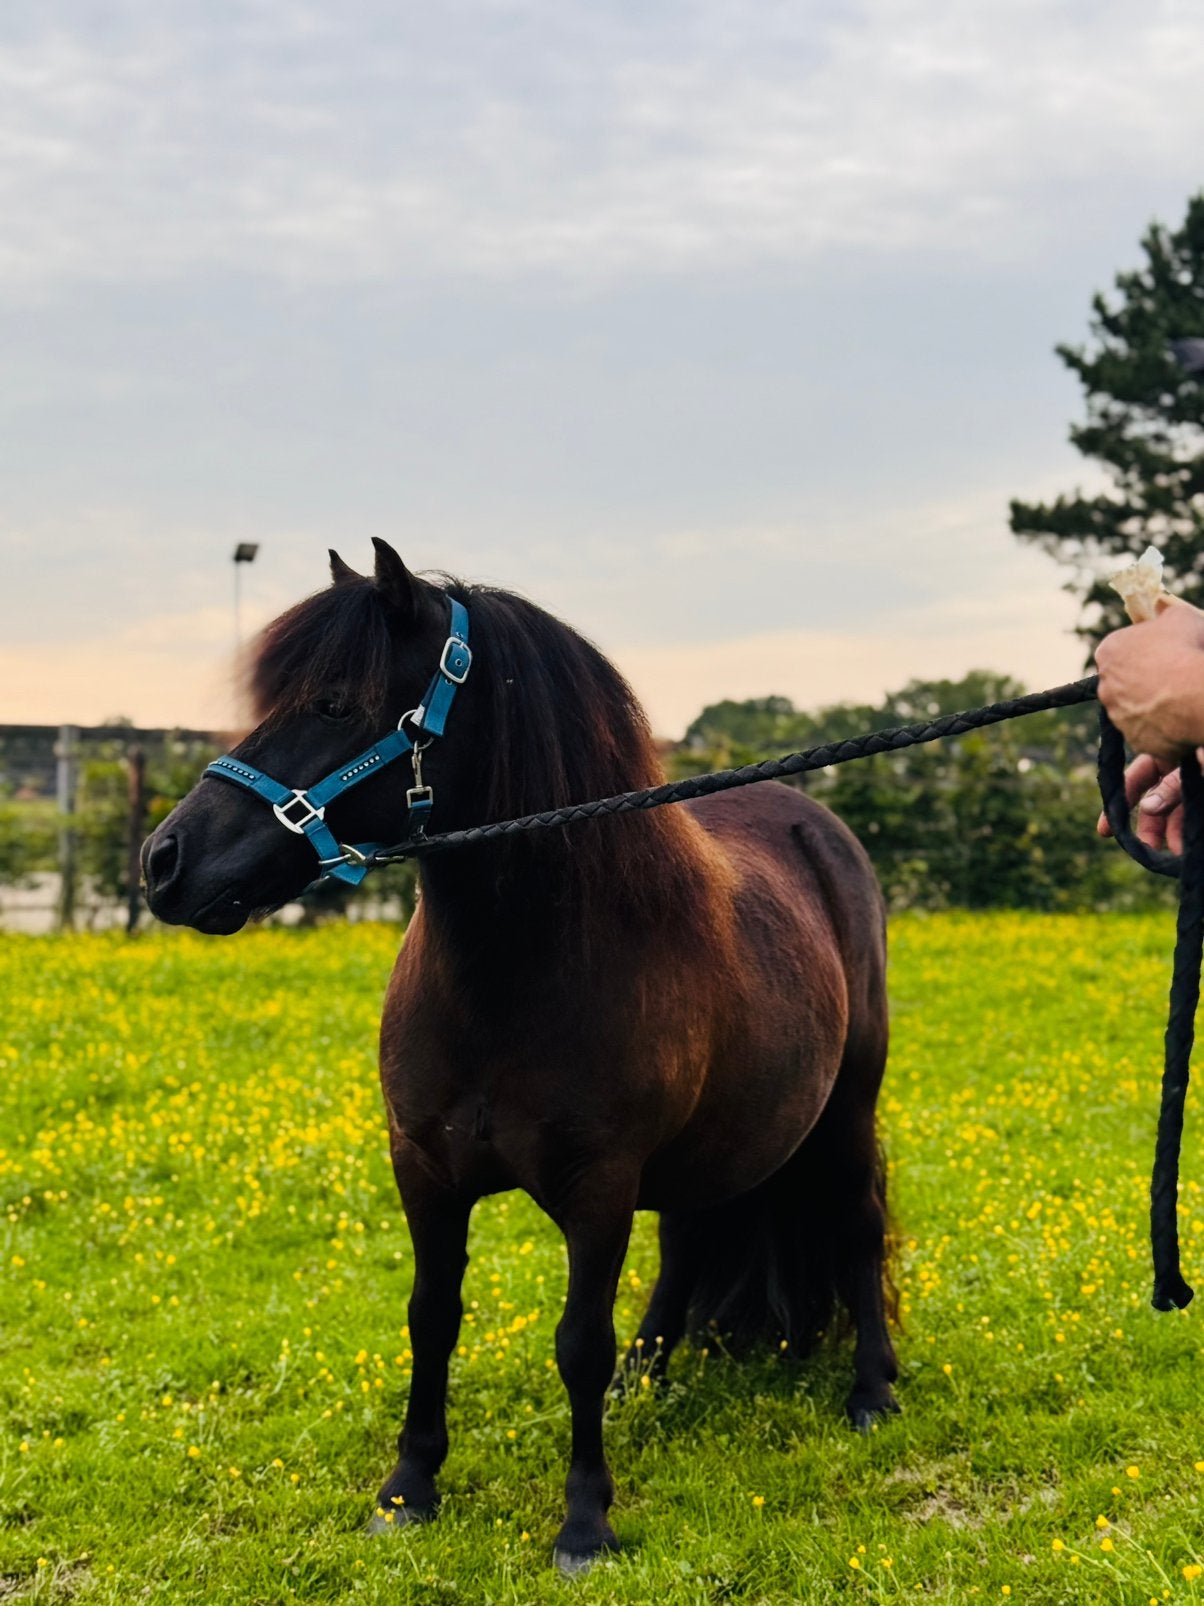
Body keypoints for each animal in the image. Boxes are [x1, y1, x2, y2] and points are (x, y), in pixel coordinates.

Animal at [142, 539, 897, 1573]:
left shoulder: (598, 1184)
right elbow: (431, 1318)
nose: (162, 862)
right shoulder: (422, 1168)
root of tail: (816, 824)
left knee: (856, 1223)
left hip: (848, 1106)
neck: (513, 978)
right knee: (688, 1240)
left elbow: (578, 1340)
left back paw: (871, 1390)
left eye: (334, 704)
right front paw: (408, 1489)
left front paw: (585, 1521)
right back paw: (645, 1379)